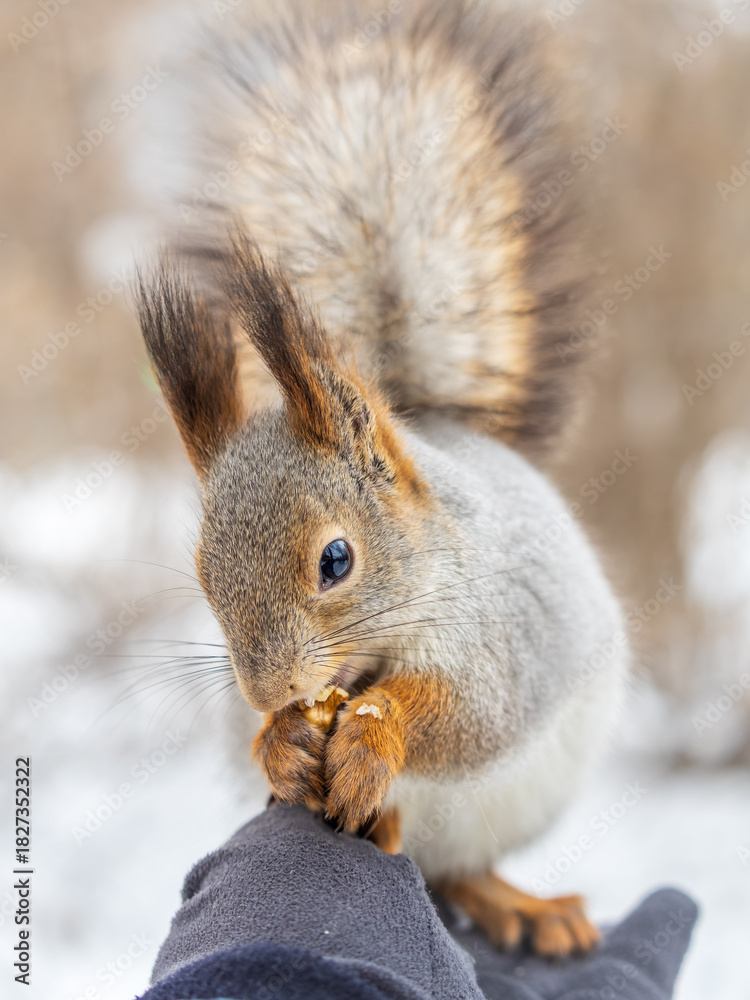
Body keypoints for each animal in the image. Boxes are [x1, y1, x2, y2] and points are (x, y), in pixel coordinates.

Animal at [137, 0, 628, 959]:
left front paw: (372, 737)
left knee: (465, 869)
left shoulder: (502, 630)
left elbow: (469, 715)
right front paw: (281, 740)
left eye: (336, 561)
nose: (271, 691)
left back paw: (522, 906)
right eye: (205, 580)